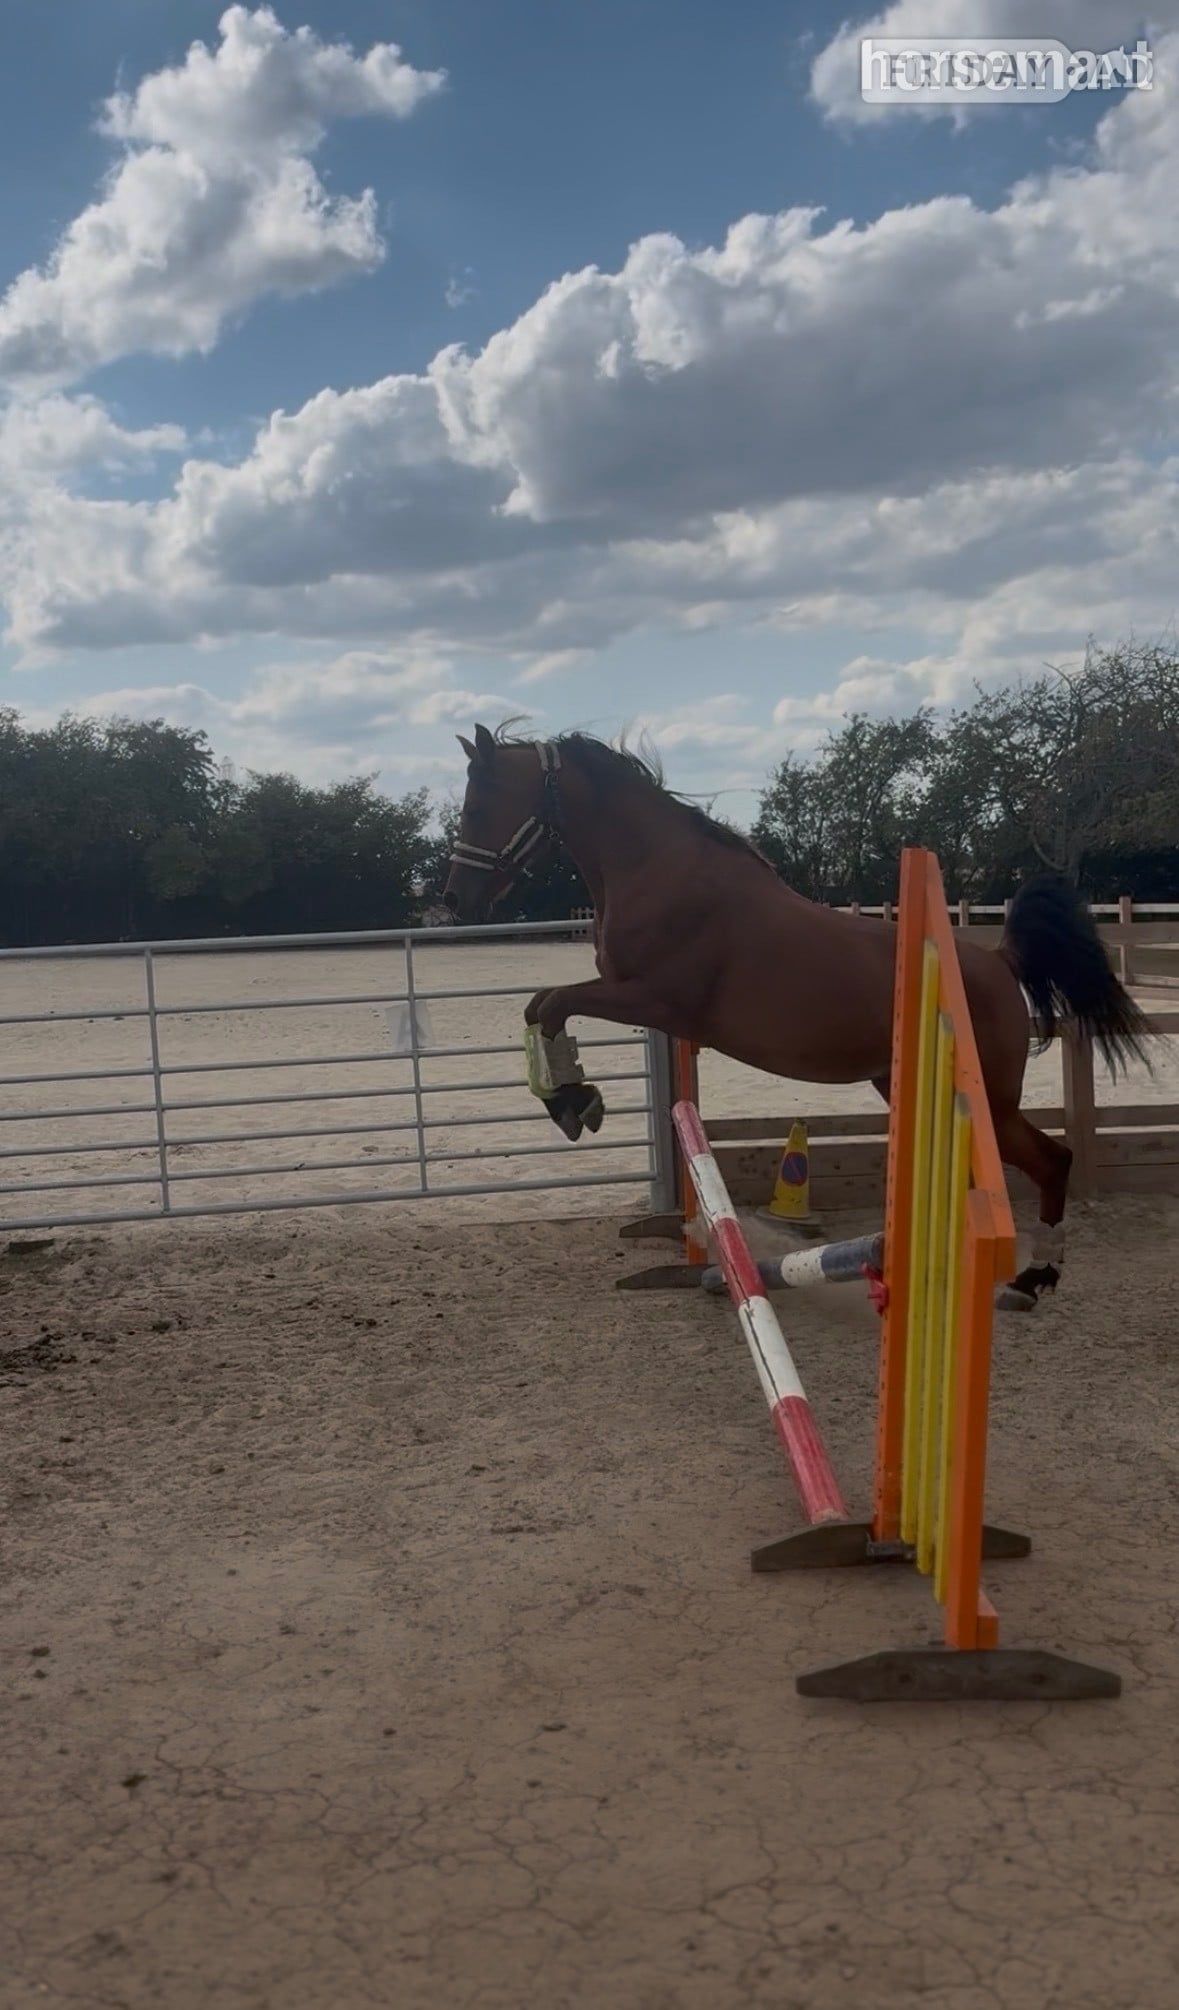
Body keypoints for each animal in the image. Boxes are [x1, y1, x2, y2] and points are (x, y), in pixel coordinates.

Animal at [442, 724, 1150, 1309]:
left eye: (478, 806)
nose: (454, 899)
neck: (659, 873)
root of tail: (1000, 961)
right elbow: (540, 1004)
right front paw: (575, 1099)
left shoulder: (649, 998)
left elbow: (551, 1004)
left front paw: (573, 1103)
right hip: (912, 1086)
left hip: (985, 1101)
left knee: (1052, 1161)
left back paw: (1033, 1279)